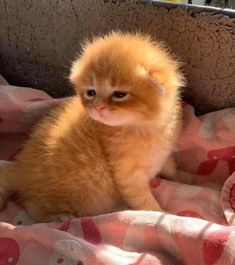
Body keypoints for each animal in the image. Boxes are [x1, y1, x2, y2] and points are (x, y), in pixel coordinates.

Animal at [0, 31, 185, 221]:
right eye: (91, 93)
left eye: (120, 94)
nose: (97, 106)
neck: (145, 128)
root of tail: (21, 168)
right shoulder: (128, 178)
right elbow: (146, 203)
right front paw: (163, 215)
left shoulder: (163, 153)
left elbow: (170, 167)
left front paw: (186, 177)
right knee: (32, 205)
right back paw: (59, 217)